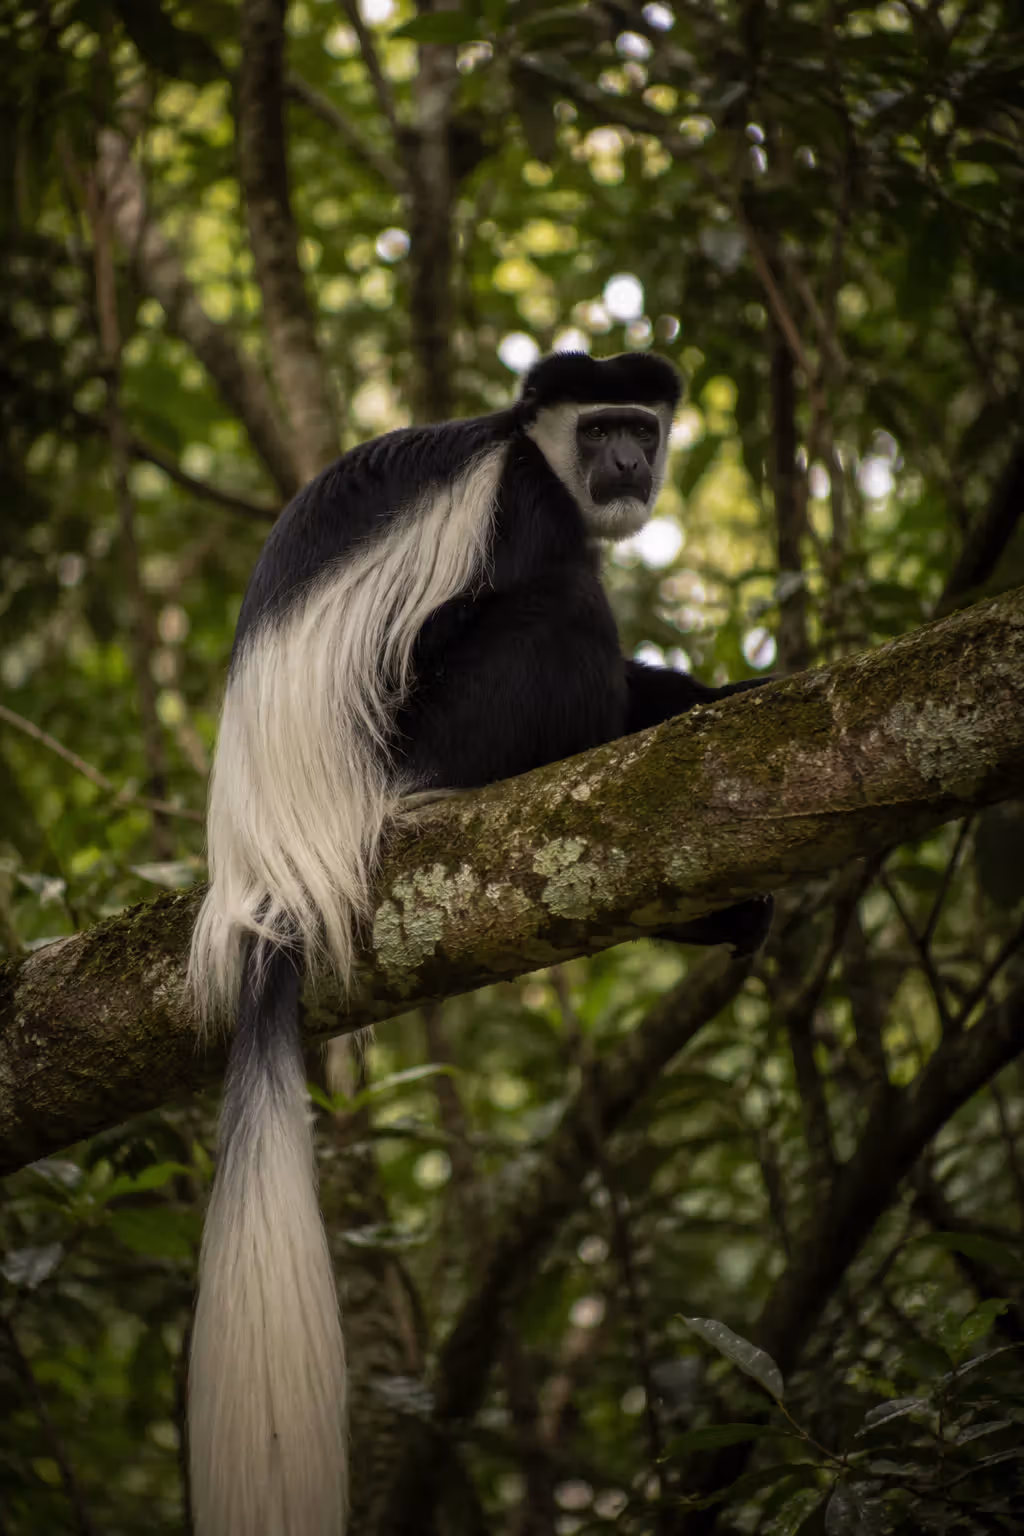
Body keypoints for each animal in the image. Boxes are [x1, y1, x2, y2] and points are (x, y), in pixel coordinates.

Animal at [187, 350, 773, 1536]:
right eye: (597, 429)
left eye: (640, 426)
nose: (627, 463)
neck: (525, 442)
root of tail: (269, 875)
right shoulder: (526, 506)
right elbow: (562, 610)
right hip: (423, 732)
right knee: (561, 624)